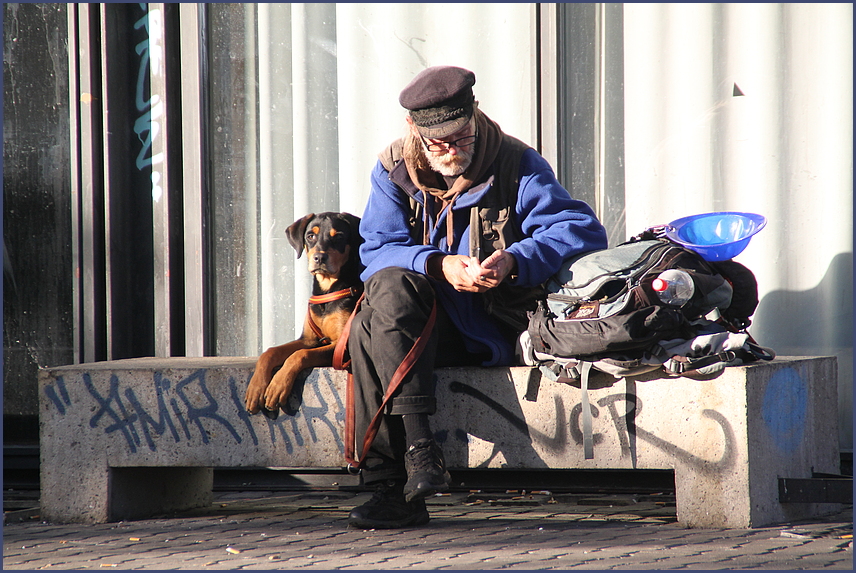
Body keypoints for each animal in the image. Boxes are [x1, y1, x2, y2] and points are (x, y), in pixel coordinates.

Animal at [242, 212, 362, 414]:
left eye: (339, 236)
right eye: (311, 236)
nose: (319, 258)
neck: (328, 291)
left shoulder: (341, 348)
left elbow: (301, 354)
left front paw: (277, 386)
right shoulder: (308, 339)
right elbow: (271, 352)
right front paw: (255, 388)